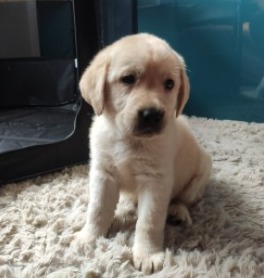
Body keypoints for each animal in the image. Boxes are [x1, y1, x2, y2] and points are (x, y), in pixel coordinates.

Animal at [75, 32, 211, 274]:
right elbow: (97, 209)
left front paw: (147, 254)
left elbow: (149, 221)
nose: (152, 114)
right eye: (128, 79)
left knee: (184, 199)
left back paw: (177, 212)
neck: (129, 139)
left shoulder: (155, 181)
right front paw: (89, 237)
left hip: (202, 171)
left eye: (169, 84)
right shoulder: (103, 173)